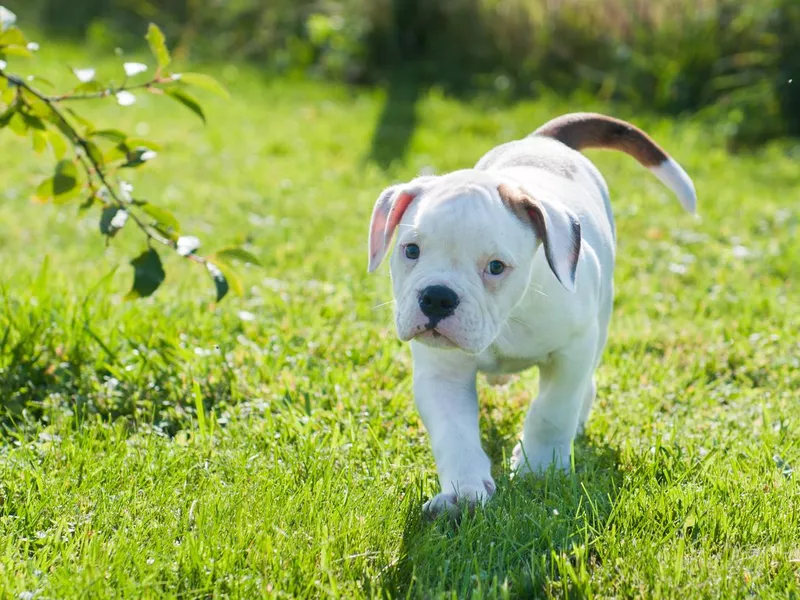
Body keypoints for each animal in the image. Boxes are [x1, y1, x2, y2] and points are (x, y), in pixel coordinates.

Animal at [368, 115, 692, 516]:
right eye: (410, 250)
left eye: (496, 267)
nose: (437, 298)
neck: (507, 320)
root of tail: (544, 141)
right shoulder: (442, 373)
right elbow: (454, 432)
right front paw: (463, 491)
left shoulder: (572, 352)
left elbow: (551, 412)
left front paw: (538, 467)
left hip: (600, 320)